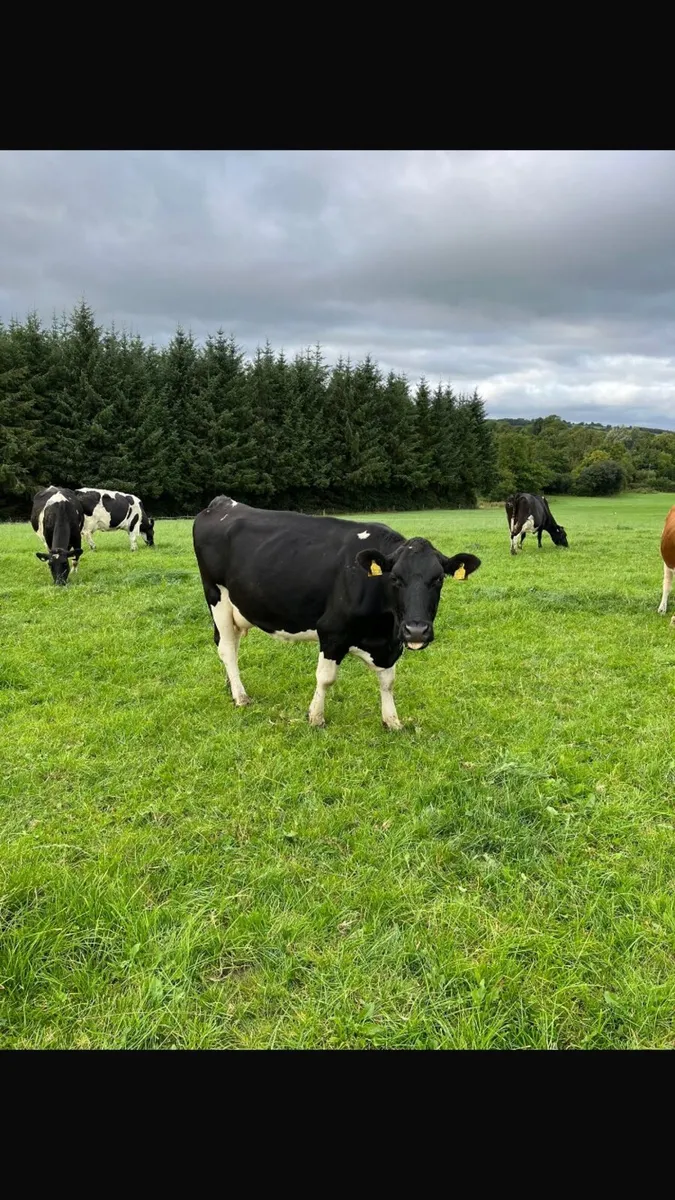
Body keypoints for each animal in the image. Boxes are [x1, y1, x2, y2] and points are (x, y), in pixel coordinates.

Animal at [193, 496, 481, 730]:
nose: (417, 631)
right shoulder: (332, 631)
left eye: (438, 579)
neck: (382, 631)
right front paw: (315, 718)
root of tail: (222, 502)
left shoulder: (390, 643)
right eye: (395, 579)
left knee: (230, 644)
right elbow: (326, 678)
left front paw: (392, 721)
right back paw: (241, 697)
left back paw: (232, 686)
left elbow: (388, 681)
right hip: (216, 596)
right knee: (227, 648)